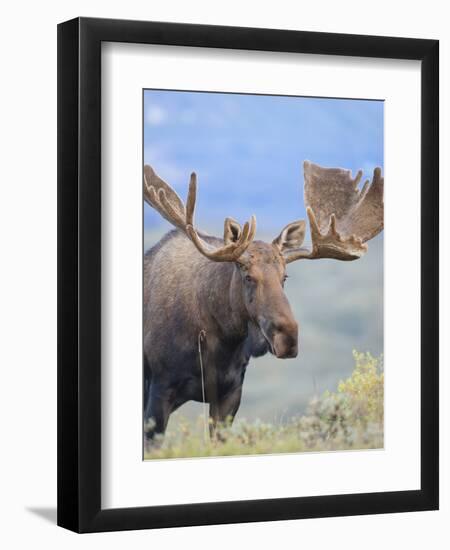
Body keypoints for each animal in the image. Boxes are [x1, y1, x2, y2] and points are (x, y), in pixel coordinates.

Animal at [143, 163, 384, 444]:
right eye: (248, 275)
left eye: (285, 277)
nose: (288, 337)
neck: (218, 342)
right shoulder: (160, 388)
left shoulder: (230, 393)